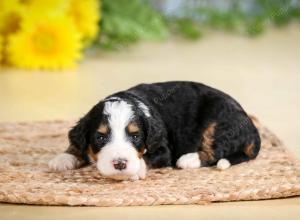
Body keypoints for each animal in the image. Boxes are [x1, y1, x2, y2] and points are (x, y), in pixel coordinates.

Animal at [48, 81, 260, 180]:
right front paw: (64, 158)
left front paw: (135, 170)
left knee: (217, 149)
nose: (120, 164)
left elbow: (147, 158)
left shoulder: (164, 149)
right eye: (100, 138)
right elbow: (76, 144)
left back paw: (189, 159)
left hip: (219, 122)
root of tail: (251, 127)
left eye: (135, 136)